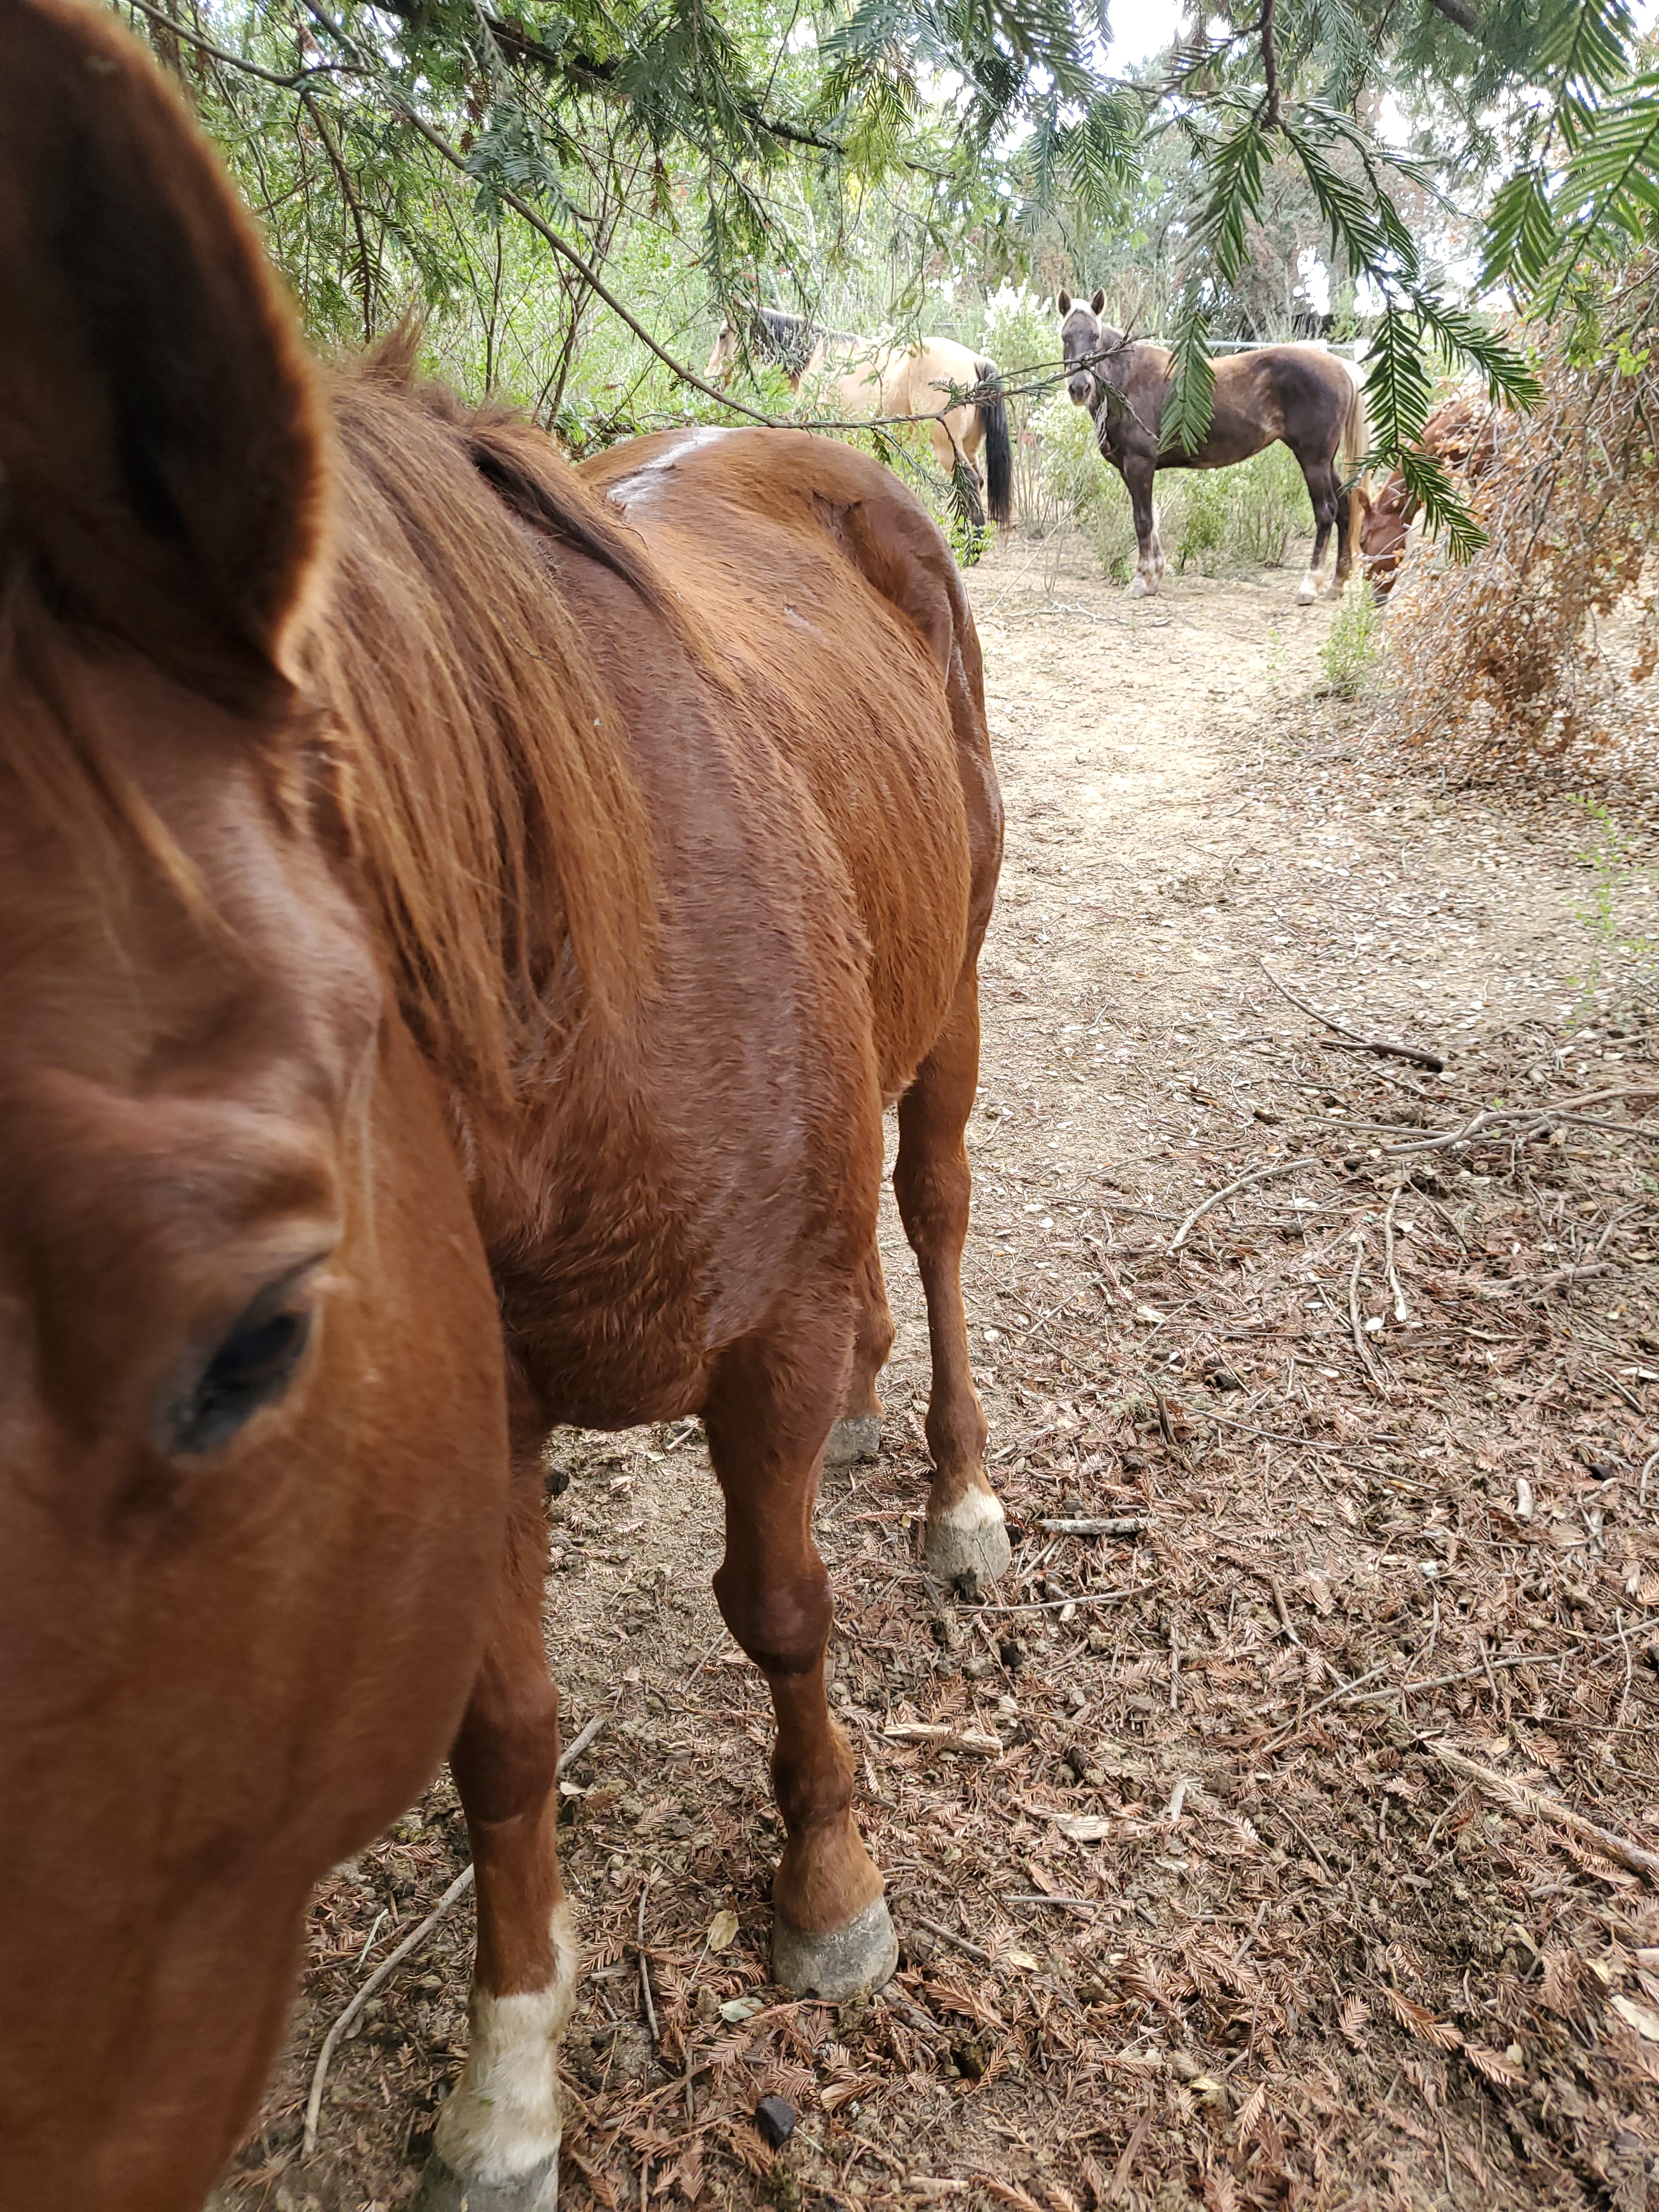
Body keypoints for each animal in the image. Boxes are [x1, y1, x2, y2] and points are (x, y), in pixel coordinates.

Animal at [707, 306, 1014, 528]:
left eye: (723, 335)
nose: (710, 376)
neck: (815, 357)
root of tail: (975, 360)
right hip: (969, 446)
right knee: (977, 481)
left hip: (946, 447)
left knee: (969, 482)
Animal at [1055, 289, 1370, 603]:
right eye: (1066, 336)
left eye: (1095, 336)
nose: (1080, 388)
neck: (1129, 380)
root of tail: (1341, 365)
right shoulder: (1131, 468)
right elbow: (1153, 518)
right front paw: (1155, 576)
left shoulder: (1139, 463)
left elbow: (1143, 520)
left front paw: (1142, 580)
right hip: (1325, 462)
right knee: (1345, 507)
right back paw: (1337, 584)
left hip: (1313, 460)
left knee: (1326, 511)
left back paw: (1309, 585)